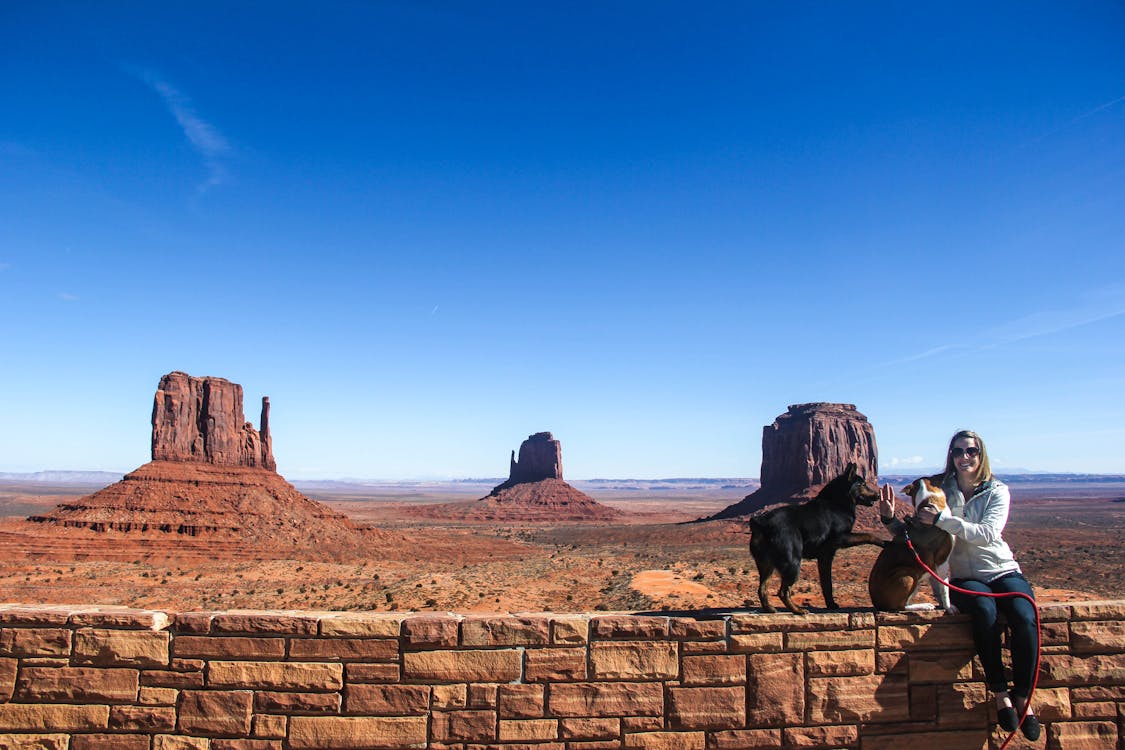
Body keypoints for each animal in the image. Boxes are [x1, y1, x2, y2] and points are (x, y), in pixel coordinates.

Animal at [751, 463, 882, 616]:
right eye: (863, 484)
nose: (878, 495)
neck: (838, 502)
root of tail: (761, 522)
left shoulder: (826, 556)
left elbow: (827, 584)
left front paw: (831, 604)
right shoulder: (842, 538)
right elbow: (868, 535)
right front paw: (883, 542)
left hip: (766, 565)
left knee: (762, 589)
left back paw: (770, 609)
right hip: (792, 562)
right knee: (783, 592)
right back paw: (798, 610)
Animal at [864, 479, 954, 611]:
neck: (929, 503)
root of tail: (877, 604)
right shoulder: (942, 560)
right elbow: (945, 587)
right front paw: (949, 607)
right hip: (909, 574)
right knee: (901, 606)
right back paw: (924, 606)